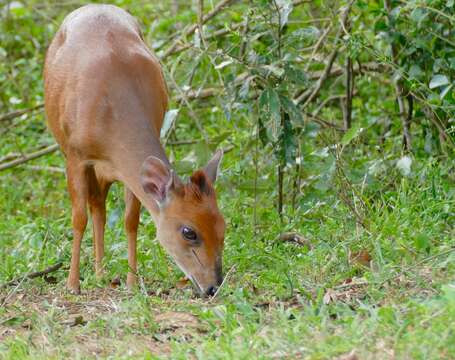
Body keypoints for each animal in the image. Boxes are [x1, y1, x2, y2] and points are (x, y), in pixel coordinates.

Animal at [43, 4, 225, 296]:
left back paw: (101, 272)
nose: (212, 287)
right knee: (94, 206)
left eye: (223, 226)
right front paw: (72, 285)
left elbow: (130, 219)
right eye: (189, 231)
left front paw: (131, 282)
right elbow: (78, 218)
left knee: (99, 205)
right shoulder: (76, 155)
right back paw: (95, 273)